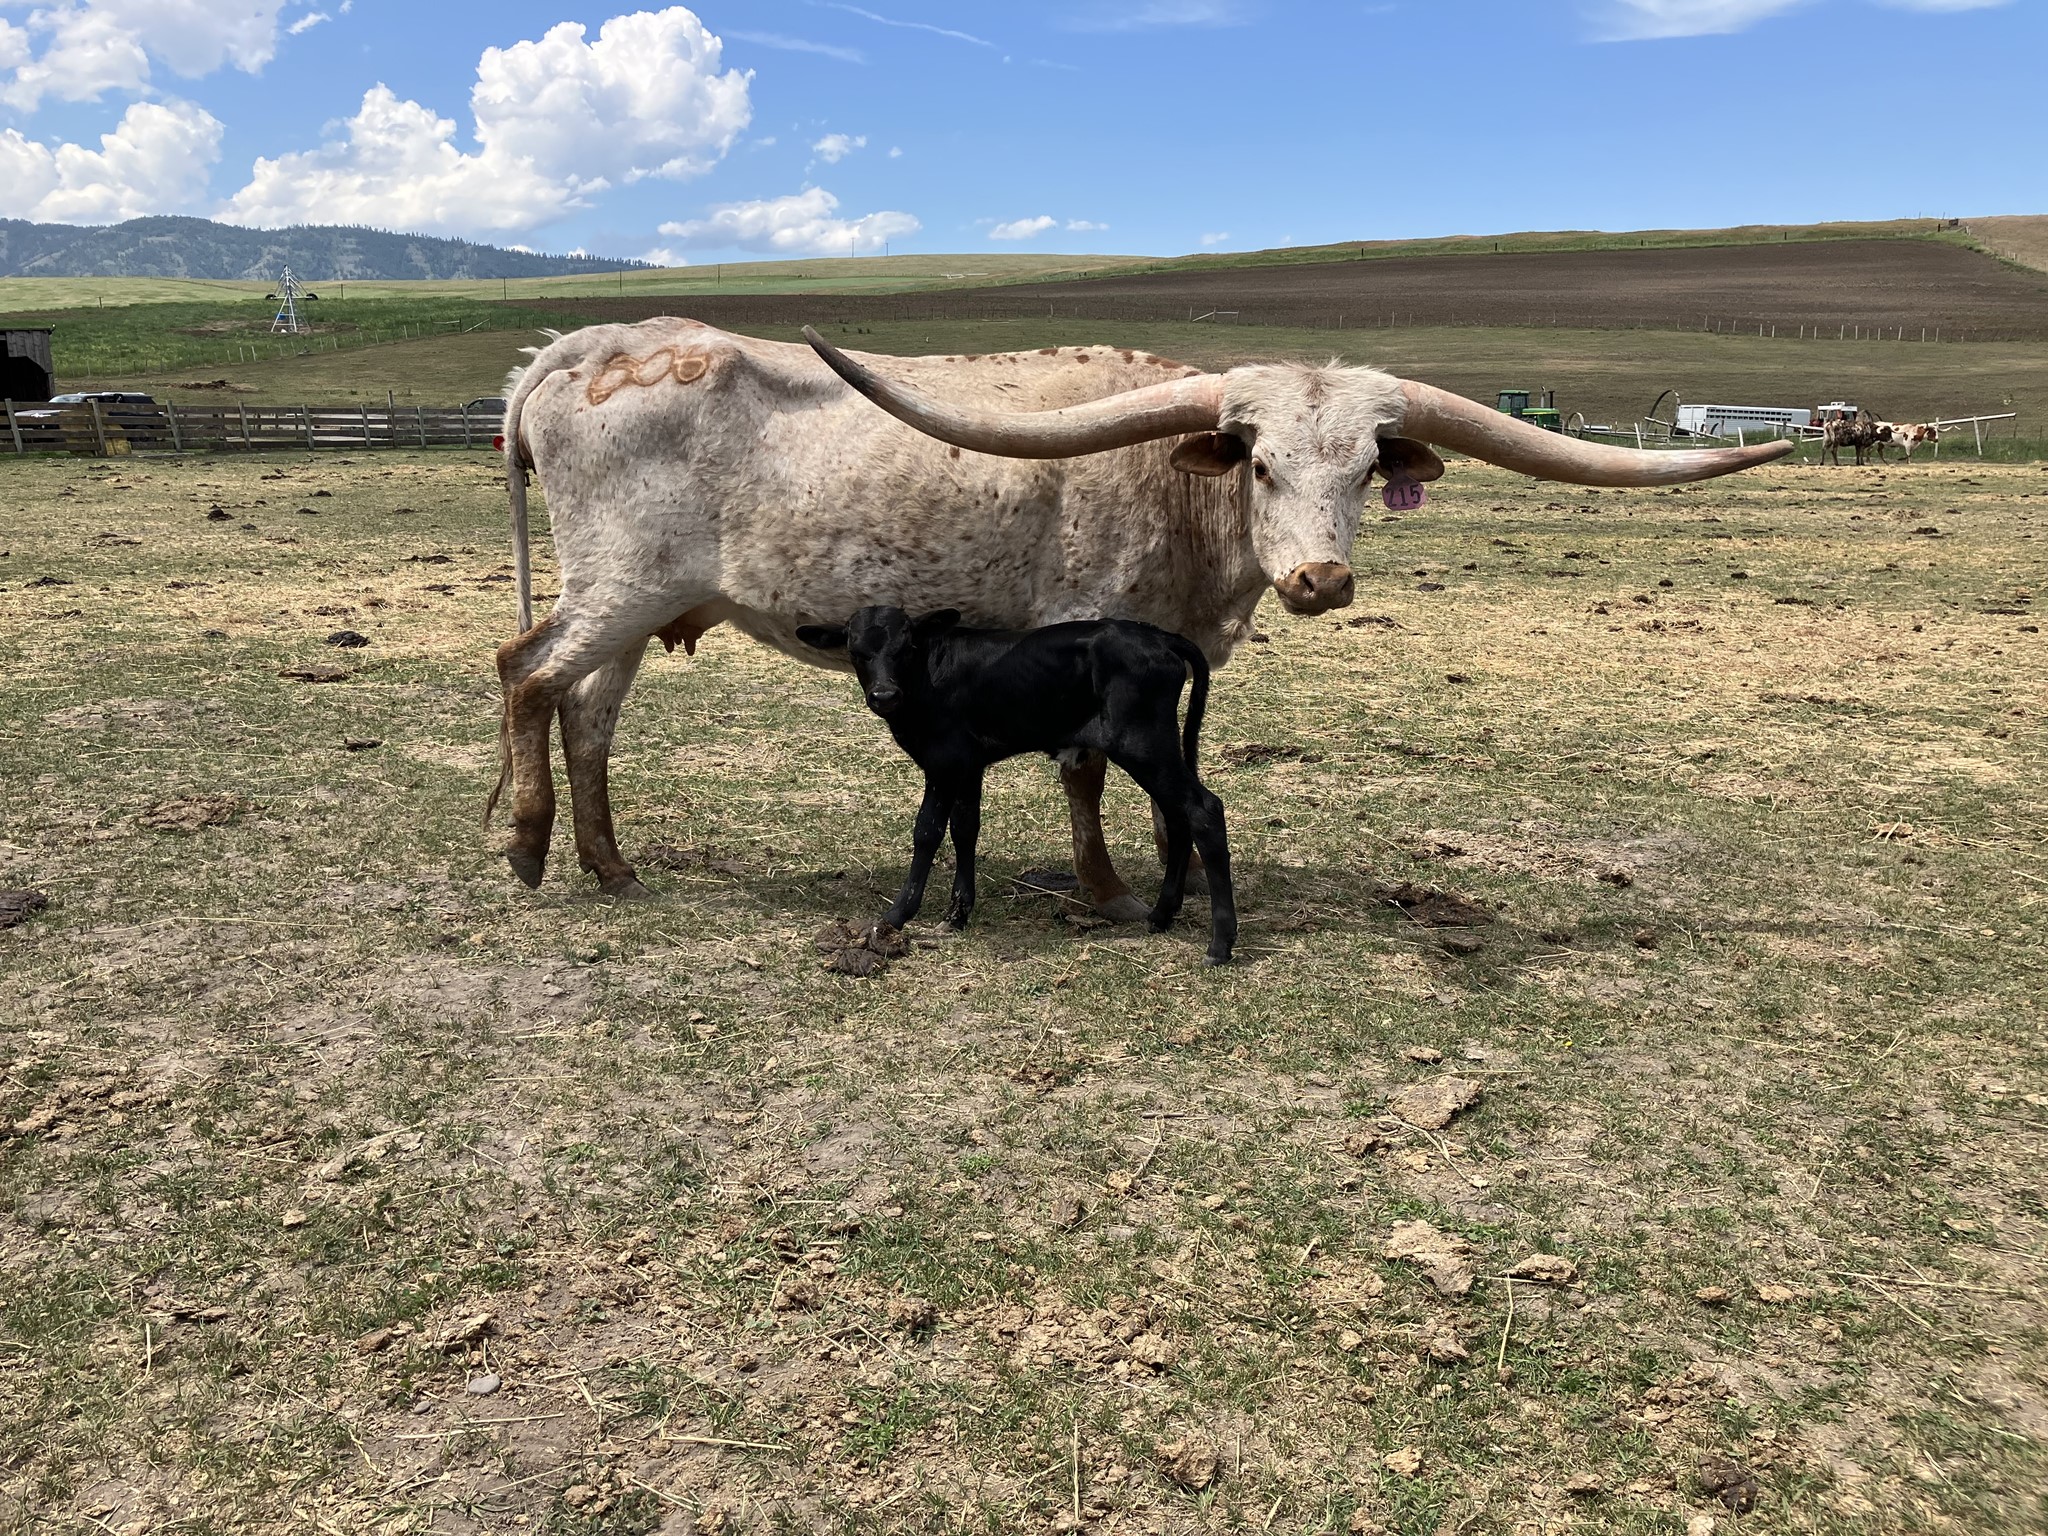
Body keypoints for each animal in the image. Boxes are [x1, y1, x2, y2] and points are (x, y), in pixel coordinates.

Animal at [491, 318, 1792, 914]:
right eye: (1259, 463)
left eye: (1365, 470)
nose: (1320, 581)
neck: (1177, 491)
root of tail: (590, 344)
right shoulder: (1085, 630)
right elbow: (1082, 771)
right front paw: (1108, 890)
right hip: (616, 586)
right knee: (526, 672)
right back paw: (530, 851)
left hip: (640, 603)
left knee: (588, 710)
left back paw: (609, 864)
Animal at [796, 606, 1236, 964]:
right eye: (856, 651)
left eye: (907, 647)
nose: (884, 695)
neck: (927, 676)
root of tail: (1158, 636)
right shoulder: (968, 765)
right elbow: (965, 829)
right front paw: (957, 914)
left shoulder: (943, 763)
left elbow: (927, 831)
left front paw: (898, 915)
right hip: (1153, 748)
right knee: (1178, 817)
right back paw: (1161, 915)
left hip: (1141, 743)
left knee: (1203, 809)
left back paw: (1220, 945)